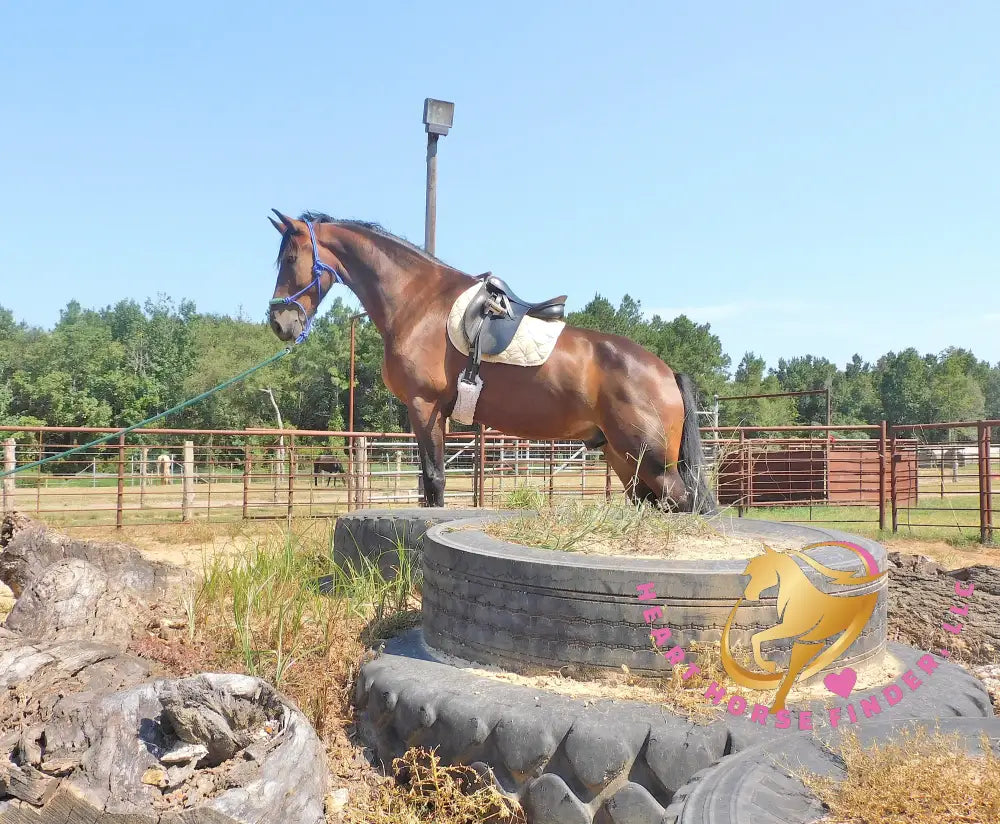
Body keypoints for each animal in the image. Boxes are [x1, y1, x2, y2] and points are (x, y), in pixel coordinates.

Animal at [266, 210, 717, 512]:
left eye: (289, 259)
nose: (279, 322)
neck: (417, 301)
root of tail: (665, 372)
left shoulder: (425, 407)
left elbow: (433, 481)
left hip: (655, 464)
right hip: (625, 461)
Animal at [720, 543, 885, 714]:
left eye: (761, 571)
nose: (748, 593)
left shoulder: (791, 628)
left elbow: (757, 637)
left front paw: (768, 666)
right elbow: (757, 638)